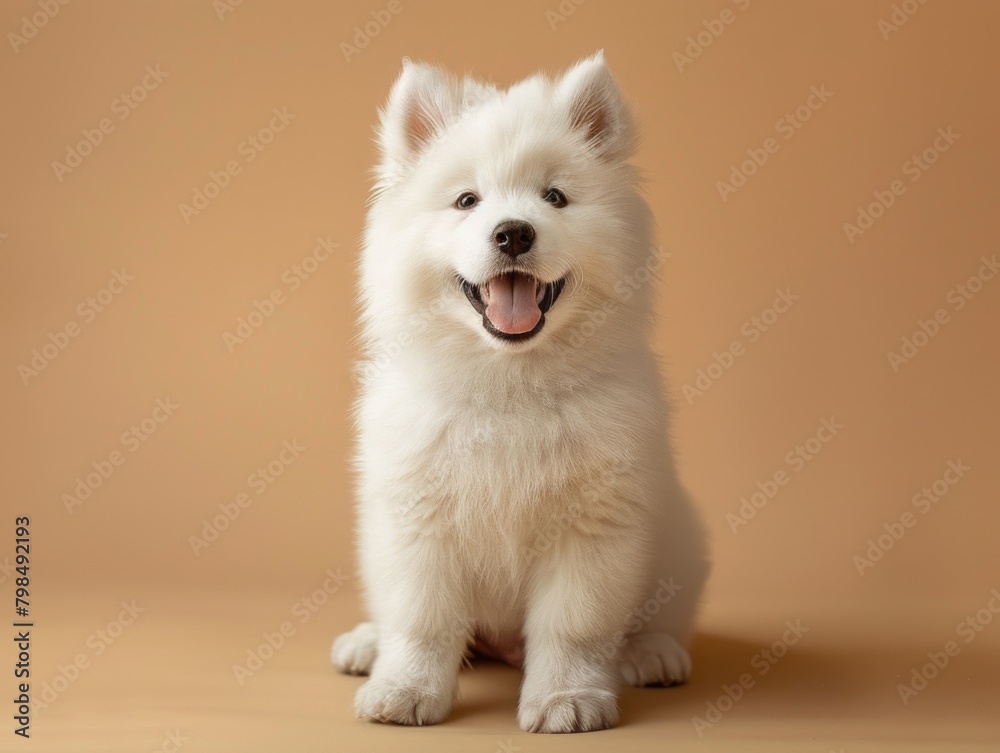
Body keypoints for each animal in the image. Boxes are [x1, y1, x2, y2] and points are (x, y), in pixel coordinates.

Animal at [332, 50, 708, 732]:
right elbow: (423, 622)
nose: (513, 233)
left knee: (658, 617)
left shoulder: (592, 526)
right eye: (466, 201)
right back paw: (367, 644)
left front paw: (567, 699)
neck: (509, 382)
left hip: (681, 544)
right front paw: (405, 690)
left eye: (555, 198)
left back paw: (652, 653)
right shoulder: (418, 517)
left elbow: (573, 628)